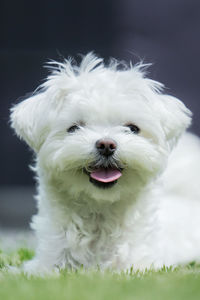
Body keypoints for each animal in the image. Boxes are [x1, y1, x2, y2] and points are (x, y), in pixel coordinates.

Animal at [10, 53, 200, 274]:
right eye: (74, 128)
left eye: (133, 128)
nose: (106, 145)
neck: (100, 214)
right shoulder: (47, 265)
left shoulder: (139, 265)